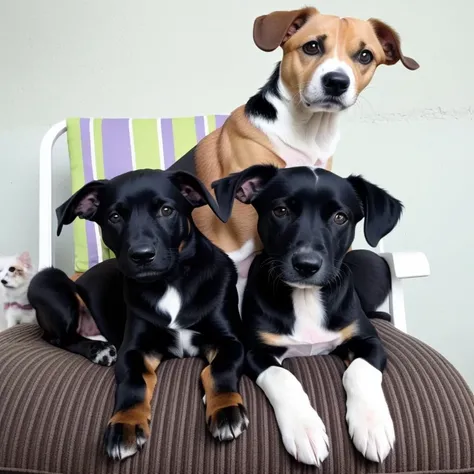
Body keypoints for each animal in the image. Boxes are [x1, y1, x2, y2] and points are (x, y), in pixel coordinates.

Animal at [28, 169, 248, 460]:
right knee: (58, 338)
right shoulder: (133, 350)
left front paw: (225, 410)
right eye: (115, 216)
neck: (169, 282)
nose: (142, 255)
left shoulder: (230, 340)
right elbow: (134, 385)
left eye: (166, 210)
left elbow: (220, 370)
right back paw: (99, 350)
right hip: (48, 282)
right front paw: (126, 425)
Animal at [213, 166, 402, 466]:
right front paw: (306, 430)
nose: (306, 265)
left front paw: (371, 426)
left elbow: (359, 371)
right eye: (280, 211)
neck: (305, 297)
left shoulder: (370, 341)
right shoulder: (256, 351)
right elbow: (283, 378)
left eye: (340, 217)